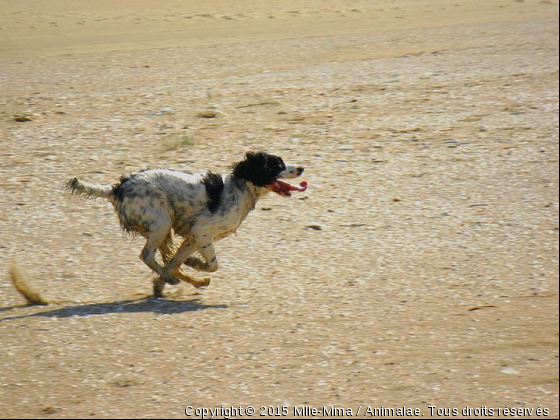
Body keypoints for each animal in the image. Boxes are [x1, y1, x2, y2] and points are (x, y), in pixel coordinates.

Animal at [66, 153, 306, 296]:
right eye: (278, 165)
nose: (302, 168)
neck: (240, 189)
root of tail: (117, 188)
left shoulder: (193, 238)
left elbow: (175, 261)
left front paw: (168, 279)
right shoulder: (202, 233)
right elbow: (212, 264)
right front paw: (195, 264)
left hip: (164, 229)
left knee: (164, 260)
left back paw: (186, 281)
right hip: (162, 222)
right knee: (147, 255)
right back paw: (173, 280)